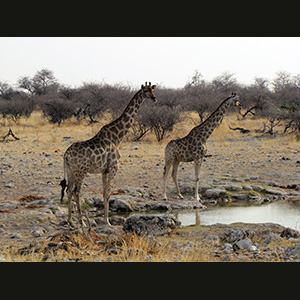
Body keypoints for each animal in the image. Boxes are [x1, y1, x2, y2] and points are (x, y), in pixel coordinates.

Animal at [59, 82, 157, 227]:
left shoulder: (104, 170)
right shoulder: (113, 167)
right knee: (77, 192)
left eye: (152, 90)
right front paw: (108, 221)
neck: (117, 137)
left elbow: (104, 193)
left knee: (69, 190)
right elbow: (108, 194)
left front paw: (106, 220)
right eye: (146, 91)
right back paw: (82, 222)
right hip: (81, 171)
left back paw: (70, 220)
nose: (155, 98)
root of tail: (66, 154)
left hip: (71, 171)